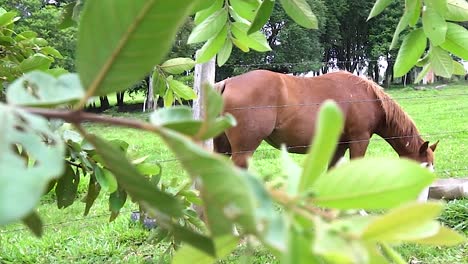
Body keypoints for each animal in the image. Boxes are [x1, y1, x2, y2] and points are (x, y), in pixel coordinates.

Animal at [214, 70, 436, 169]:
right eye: (425, 165)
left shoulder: (339, 146)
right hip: (243, 152)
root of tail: (226, 83)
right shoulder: (359, 140)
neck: (367, 96)